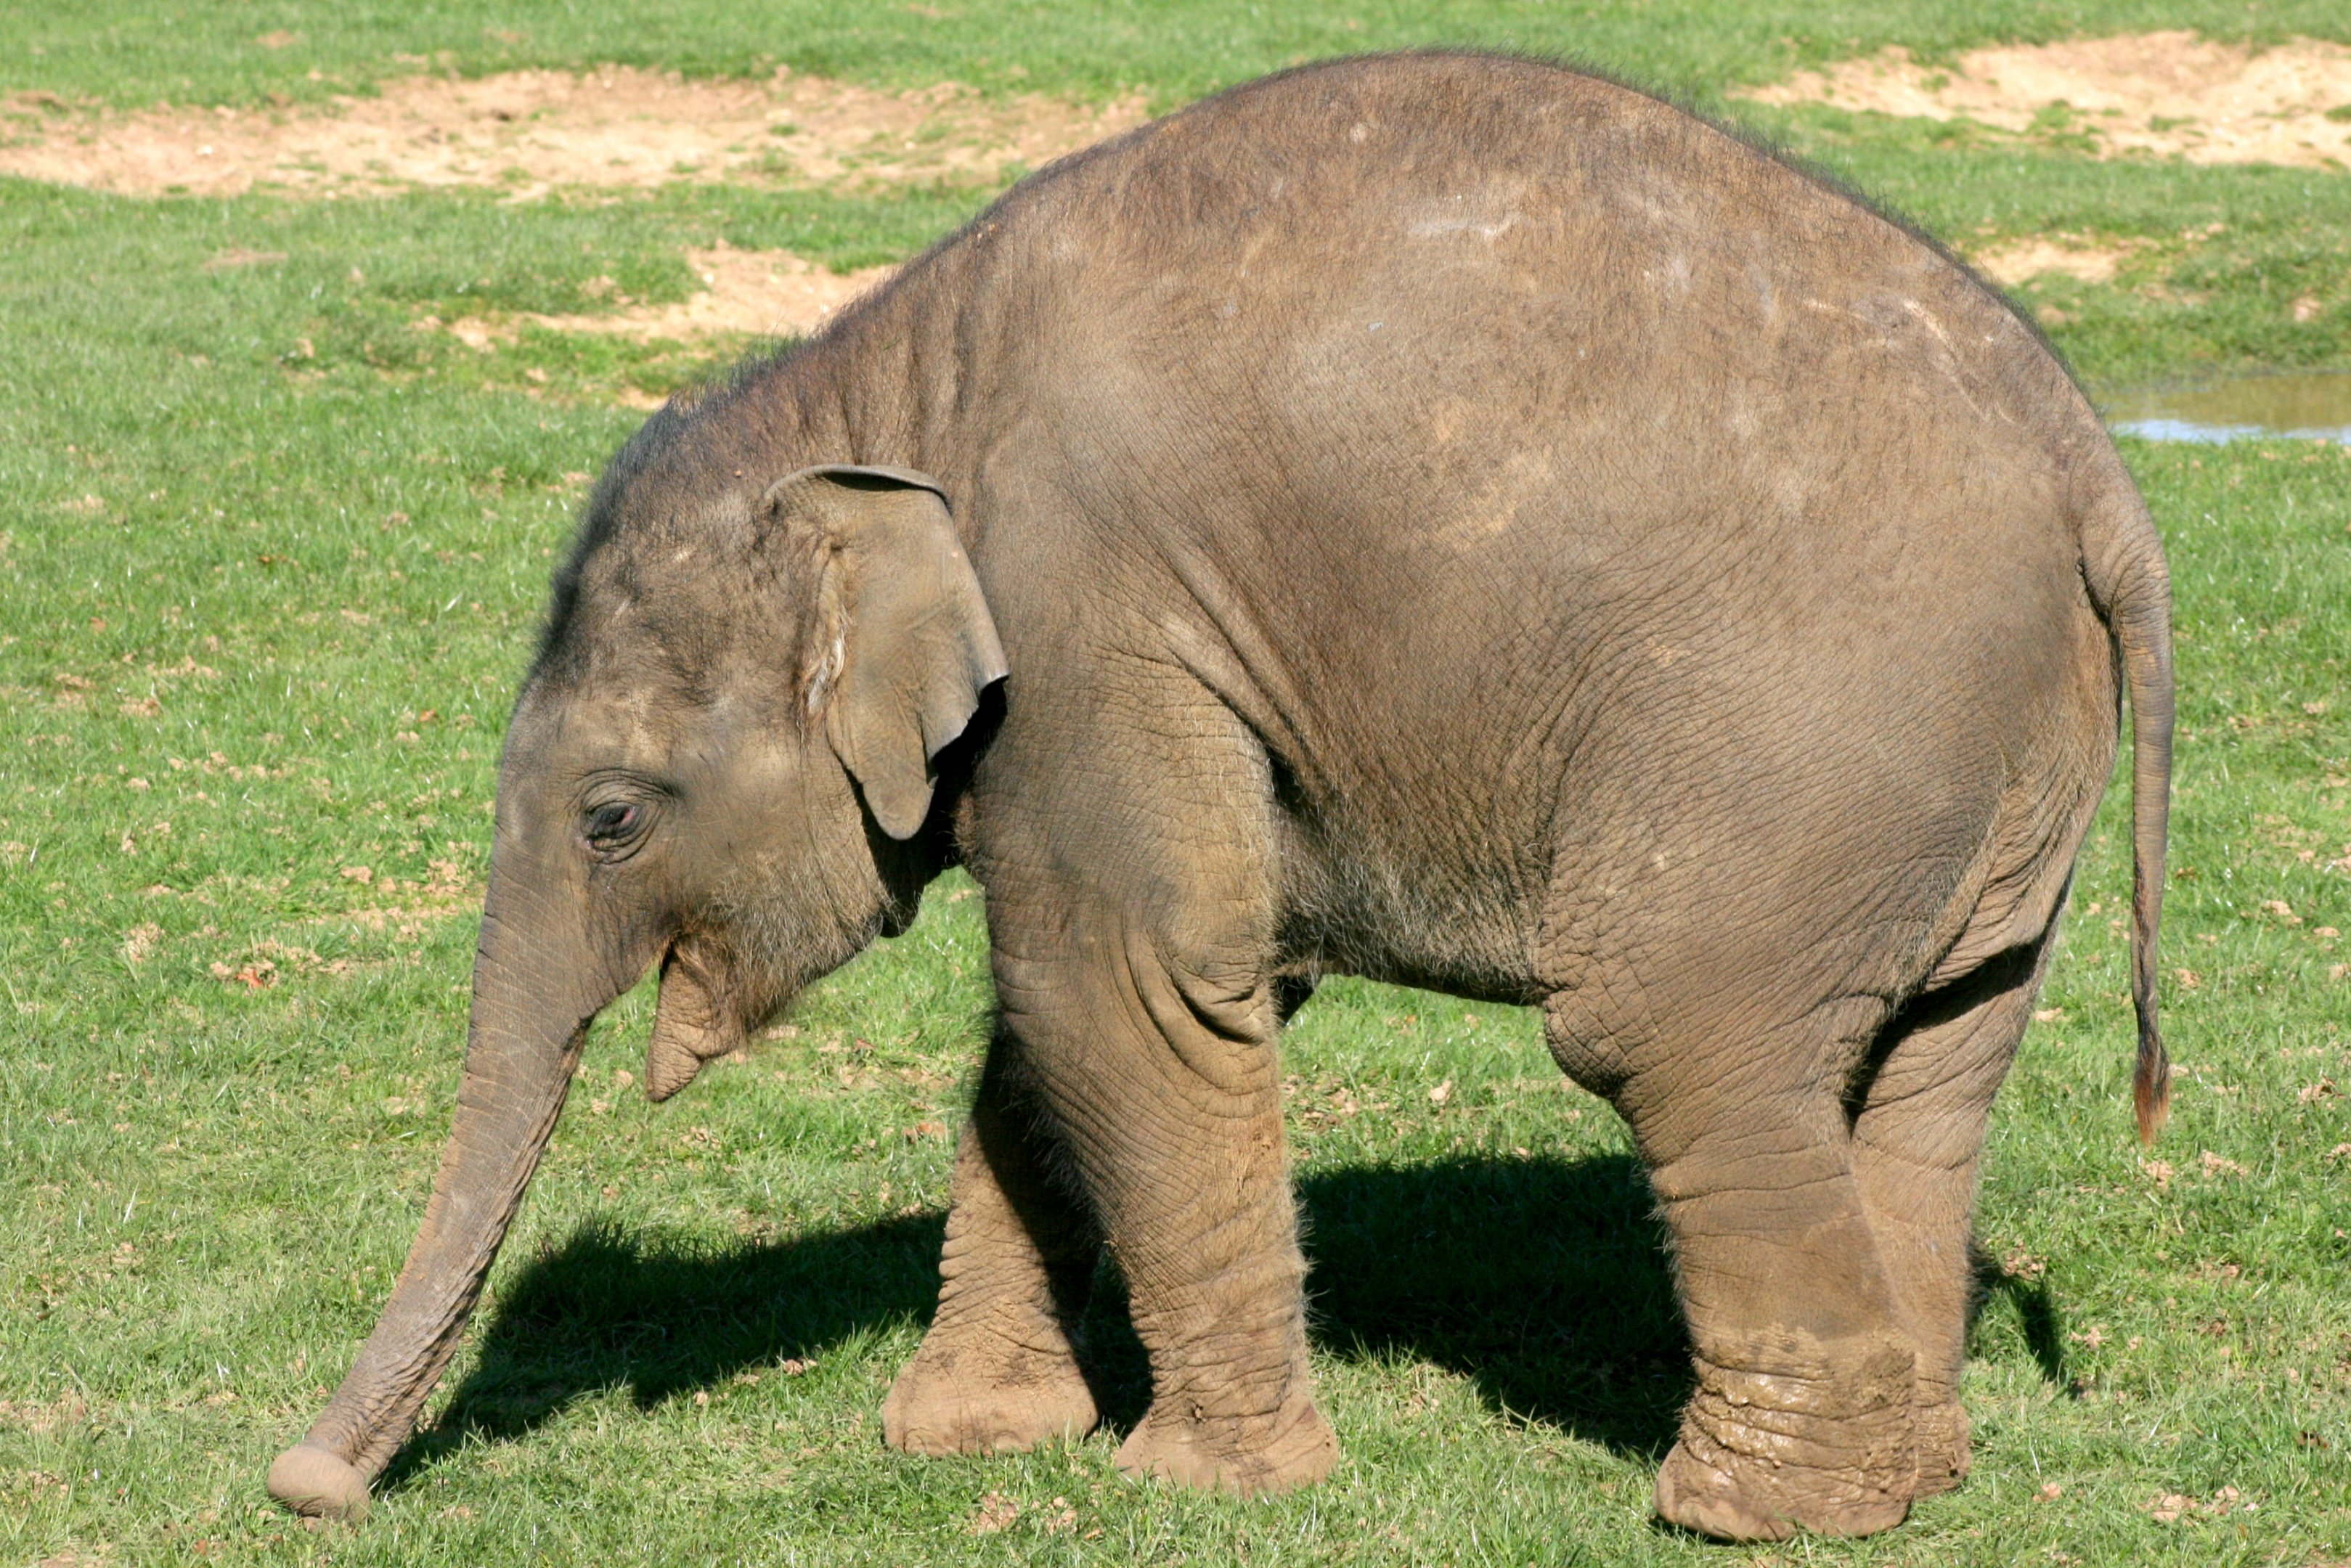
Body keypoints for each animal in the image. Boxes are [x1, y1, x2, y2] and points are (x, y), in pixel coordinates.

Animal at [267, 51, 2172, 1541]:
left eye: (611, 816)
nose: (306, 1484)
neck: (878, 385)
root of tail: (2090, 460)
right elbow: (1064, 1020)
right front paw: (963, 1439)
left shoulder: (1088, 613)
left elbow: (1123, 983)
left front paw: (1205, 1488)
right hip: (1984, 789)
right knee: (1934, 1057)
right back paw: (1919, 1475)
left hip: (1802, 738)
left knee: (1671, 1030)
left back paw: (1750, 1514)